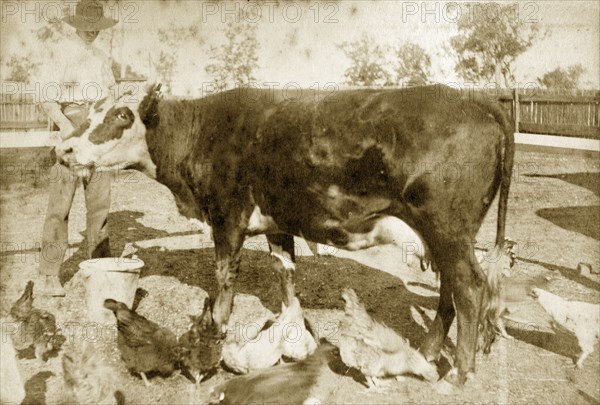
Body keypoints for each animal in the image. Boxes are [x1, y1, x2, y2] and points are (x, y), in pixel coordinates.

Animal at [54, 83, 516, 386]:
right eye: (86, 112)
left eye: (121, 114)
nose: (63, 149)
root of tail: (475, 99)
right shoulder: (278, 224)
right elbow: (286, 275)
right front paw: (290, 333)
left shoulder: (228, 218)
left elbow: (224, 281)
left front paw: (218, 332)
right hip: (440, 238)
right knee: (450, 291)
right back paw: (429, 353)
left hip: (447, 229)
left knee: (469, 288)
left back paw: (458, 374)